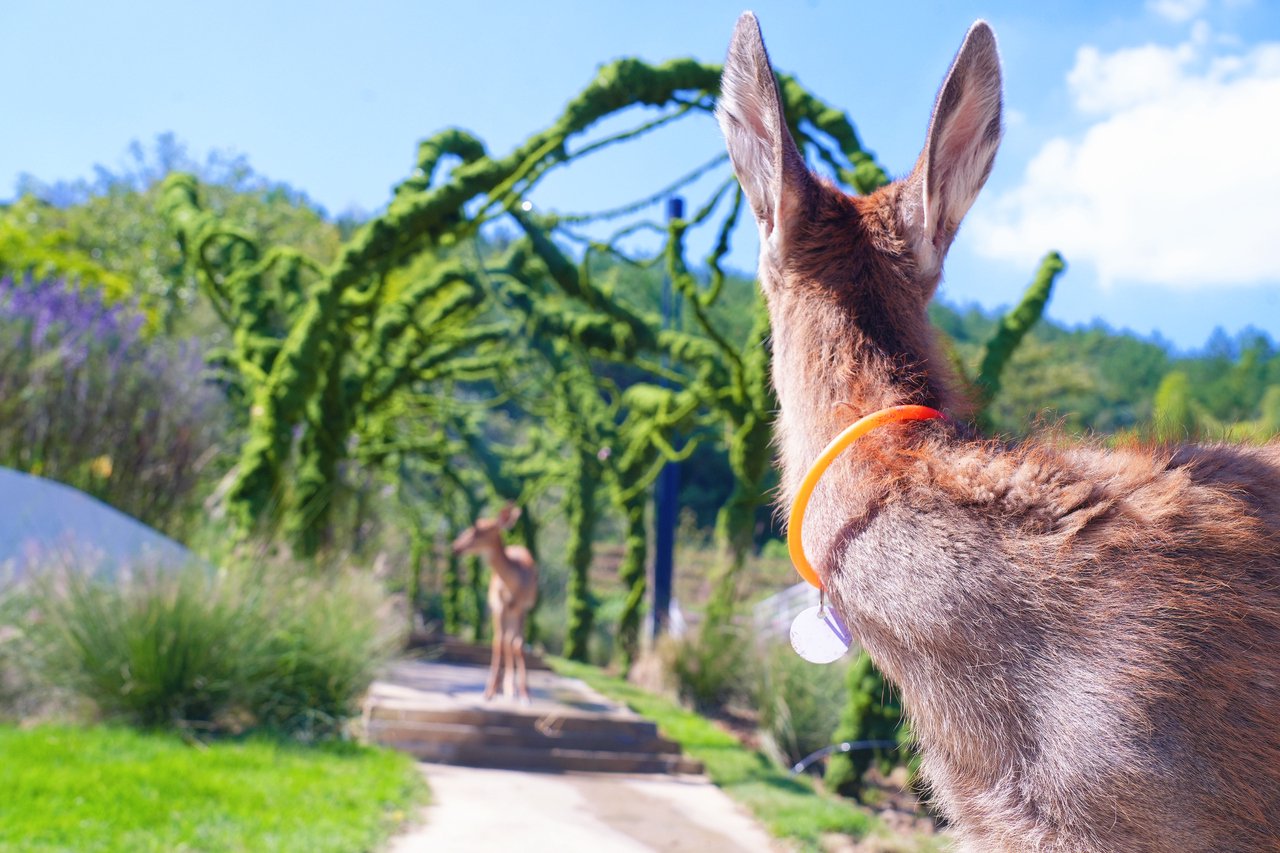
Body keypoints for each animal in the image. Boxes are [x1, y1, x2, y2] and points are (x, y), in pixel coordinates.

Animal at [451, 504, 538, 704]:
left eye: (477, 530)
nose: (456, 546)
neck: (511, 585)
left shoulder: (521, 606)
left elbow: (518, 644)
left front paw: (524, 694)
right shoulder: (498, 605)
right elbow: (498, 642)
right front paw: (489, 691)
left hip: (519, 611)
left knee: (511, 641)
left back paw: (513, 687)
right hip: (499, 608)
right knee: (504, 639)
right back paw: (501, 686)